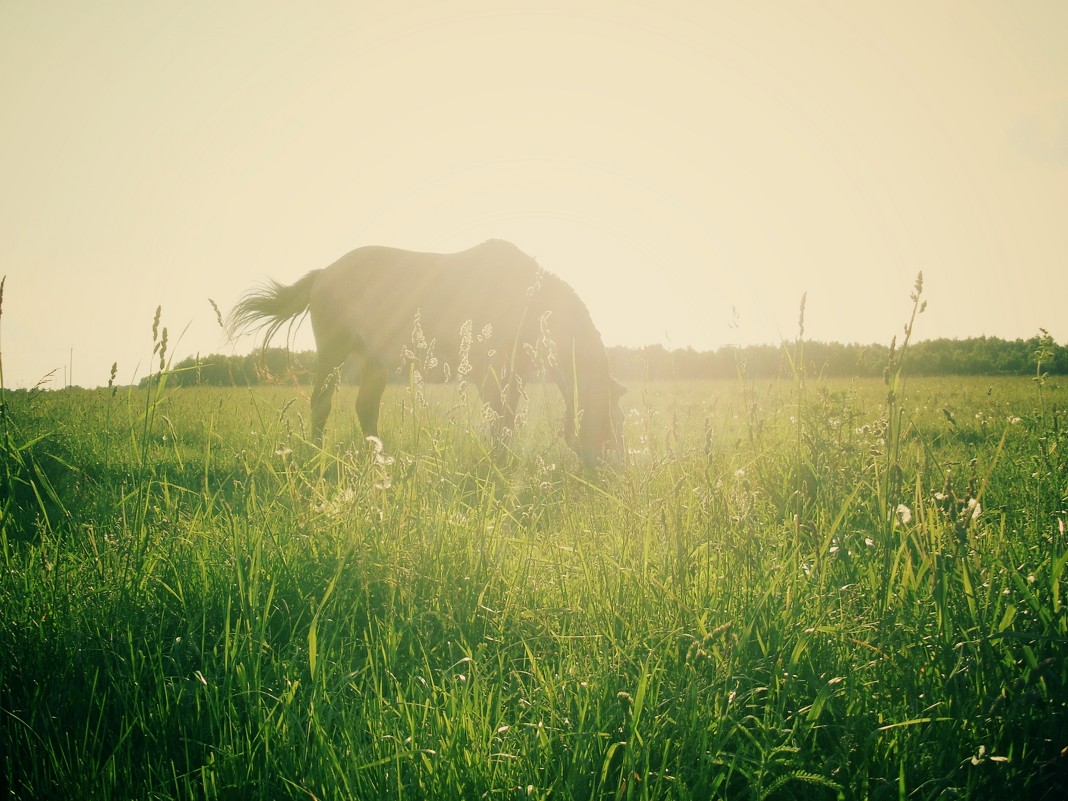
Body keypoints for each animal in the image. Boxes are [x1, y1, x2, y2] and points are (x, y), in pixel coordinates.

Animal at [229, 240, 623, 463]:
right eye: (612, 416)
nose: (609, 464)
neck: (528, 299)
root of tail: (325, 272)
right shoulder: (488, 372)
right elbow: (501, 418)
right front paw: (499, 463)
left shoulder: (514, 375)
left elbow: (506, 418)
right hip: (333, 353)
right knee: (321, 404)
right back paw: (317, 453)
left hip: (373, 361)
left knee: (365, 408)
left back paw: (378, 457)